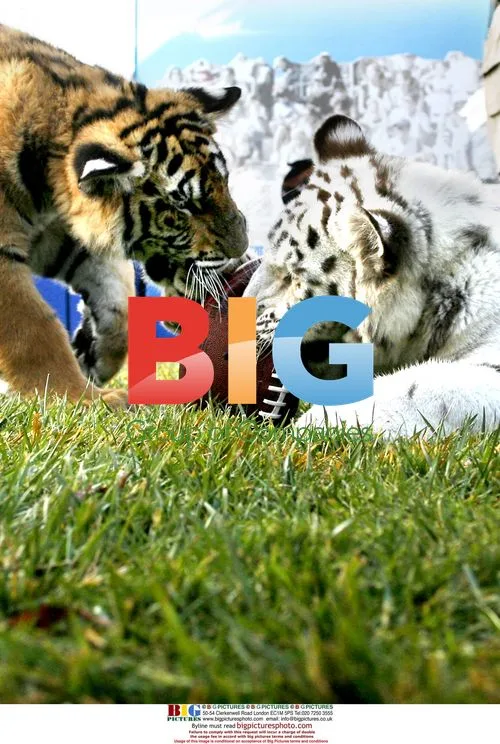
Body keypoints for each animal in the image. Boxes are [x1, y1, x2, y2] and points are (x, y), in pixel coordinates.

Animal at [0, 25, 247, 406]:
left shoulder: (56, 237)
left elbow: (119, 300)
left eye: (225, 181)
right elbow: (33, 329)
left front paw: (91, 355)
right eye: (182, 205)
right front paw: (81, 398)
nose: (243, 248)